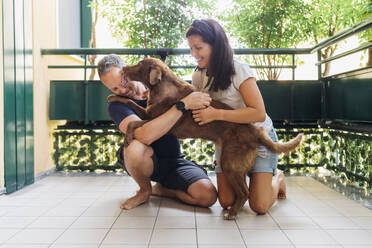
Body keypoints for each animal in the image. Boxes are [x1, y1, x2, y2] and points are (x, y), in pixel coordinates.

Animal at [108, 57, 302, 219]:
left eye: (140, 64)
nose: (124, 68)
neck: (161, 88)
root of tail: (256, 131)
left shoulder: (156, 121)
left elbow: (133, 123)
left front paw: (127, 138)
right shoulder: (148, 115)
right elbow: (130, 102)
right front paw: (114, 96)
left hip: (230, 163)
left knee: (245, 192)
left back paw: (232, 213)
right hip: (239, 165)